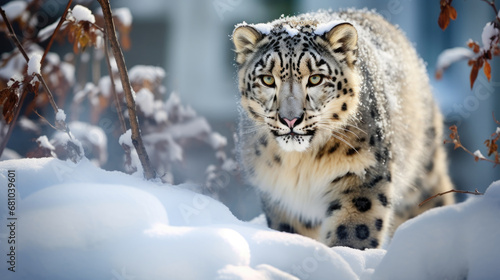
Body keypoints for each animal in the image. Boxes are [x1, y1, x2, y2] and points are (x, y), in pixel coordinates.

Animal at [232, 9, 456, 249]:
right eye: (267, 79)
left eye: (315, 78)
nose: (290, 119)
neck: (301, 164)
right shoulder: (282, 197)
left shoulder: (364, 176)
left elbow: (354, 231)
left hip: (422, 174)